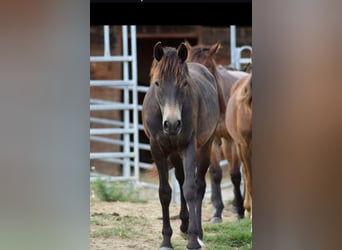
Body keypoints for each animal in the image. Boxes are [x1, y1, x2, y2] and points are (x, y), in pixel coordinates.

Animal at [141, 42, 219, 249]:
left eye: (184, 83)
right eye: (157, 83)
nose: (172, 124)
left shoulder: (188, 147)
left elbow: (190, 189)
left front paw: (193, 239)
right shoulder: (158, 149)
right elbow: (165, 192)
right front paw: (166, 240)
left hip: (205, 147)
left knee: (199, 186)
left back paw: (197, 232)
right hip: (175, 154)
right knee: (180, 178)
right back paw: (184, 224)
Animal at [186, 41, 247, 221]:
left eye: (207, 66)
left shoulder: (232, 140)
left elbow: (235, 175)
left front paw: (239, 210)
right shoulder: (212, 140)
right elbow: (216, 174)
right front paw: (217, 212)